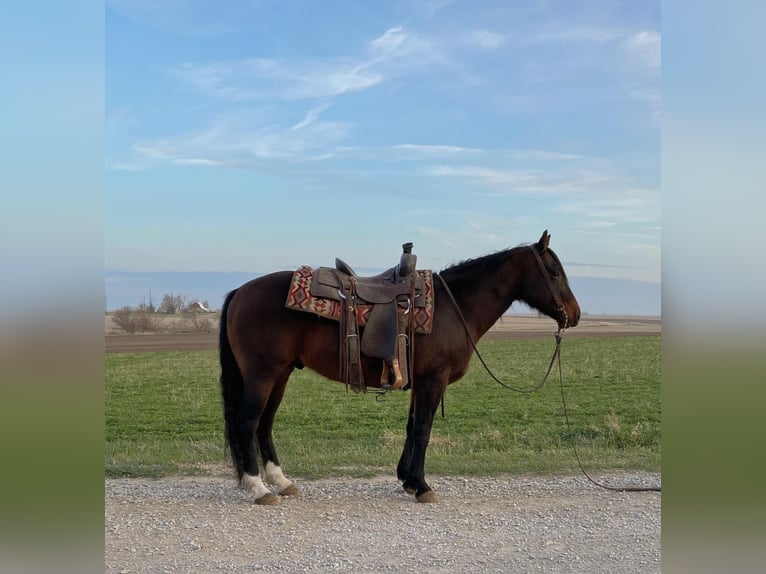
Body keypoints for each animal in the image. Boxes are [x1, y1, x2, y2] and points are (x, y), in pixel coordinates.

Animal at [219, 232, 580, 506]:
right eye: (554, 272)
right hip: (262, 375)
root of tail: (240, 292)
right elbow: (423, 429)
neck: (455, 307)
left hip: (280, 375)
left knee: (265, 425)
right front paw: (422, 486)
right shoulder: (434, 380)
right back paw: (258, 488)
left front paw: (407, 479)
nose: (575, 315)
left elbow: (411, 428)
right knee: (247, 424)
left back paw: (281, 482)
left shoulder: (420, 382)